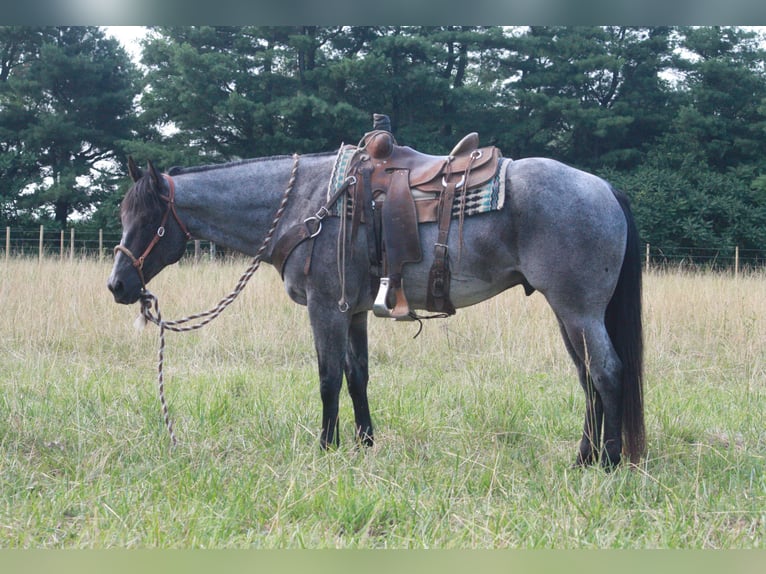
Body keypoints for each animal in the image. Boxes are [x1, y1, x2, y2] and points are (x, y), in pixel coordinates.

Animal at [106, 145, 648, 472]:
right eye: (123, 214)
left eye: (149, 218)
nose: (117, 285)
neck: (310, 206)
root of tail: (604, 188)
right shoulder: (354, 311)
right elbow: (357, 376)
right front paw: (365, 444)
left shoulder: (325, 308)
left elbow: (328, 378)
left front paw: (326, 448)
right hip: (568, 314)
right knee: (587, 378)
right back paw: (584, 457)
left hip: (579, 311)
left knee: (607, 372)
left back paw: (609, 462)